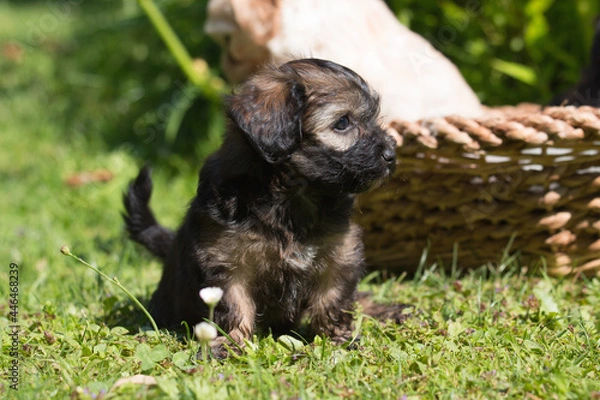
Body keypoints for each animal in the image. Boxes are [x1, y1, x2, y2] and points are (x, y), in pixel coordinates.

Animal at [122, 58, 398, 356]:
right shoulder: (226, 261)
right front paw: (230, 344)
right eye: (343, 122)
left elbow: (334, 299)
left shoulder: (340, 253)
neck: (292, 195)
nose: (391, 155)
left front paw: (337, 339)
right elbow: (233, 305)